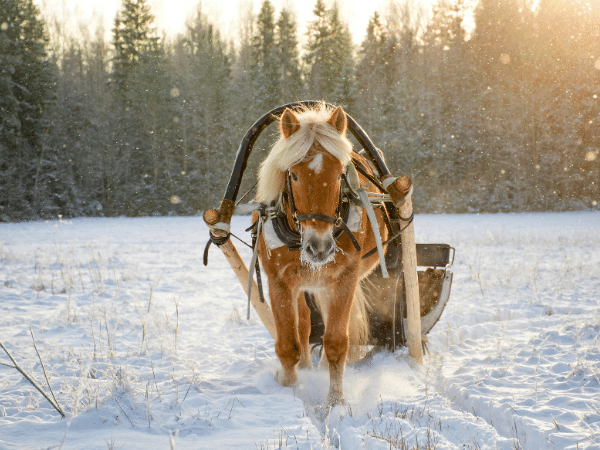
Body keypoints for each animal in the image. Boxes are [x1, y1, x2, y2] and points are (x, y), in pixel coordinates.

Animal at [253, 103, 390, 406]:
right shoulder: (279, 282)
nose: (320, 248)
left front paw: (336, 403)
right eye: (293, 175)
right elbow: (288, 344)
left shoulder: (344, 279)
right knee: (304, 325)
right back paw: (306, 366)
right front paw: (290, 388)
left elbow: (336, 342)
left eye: (339, 173)